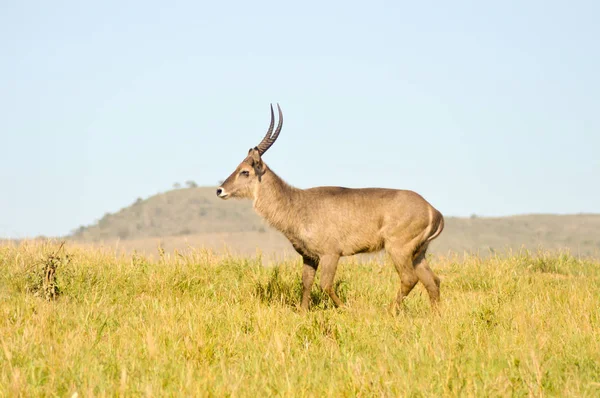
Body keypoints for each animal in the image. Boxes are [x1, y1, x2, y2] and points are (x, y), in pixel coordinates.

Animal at [218, 104, 442, 312]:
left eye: (245, 171)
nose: (220, 190)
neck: (296, 203)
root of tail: (433, 210)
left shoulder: (330, 254)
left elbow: (325, 285)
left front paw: (345, 309)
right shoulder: (309, 257)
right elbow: (306, 283)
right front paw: (303, 313)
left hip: (398, 249)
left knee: (409, 279)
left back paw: (389, 311)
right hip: (418, 254)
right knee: (433, 281)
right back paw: (434, 316)